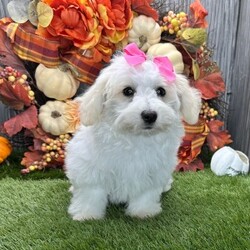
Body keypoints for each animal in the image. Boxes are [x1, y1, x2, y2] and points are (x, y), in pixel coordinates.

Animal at [65, 43, 201, 221]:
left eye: (161, 91)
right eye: (128, 91)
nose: (150, 115)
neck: (135, 137)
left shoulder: (152, 172)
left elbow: (145, 193)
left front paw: (143, 212)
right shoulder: (90, 168)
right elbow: (91, 193)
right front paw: (87, 214)